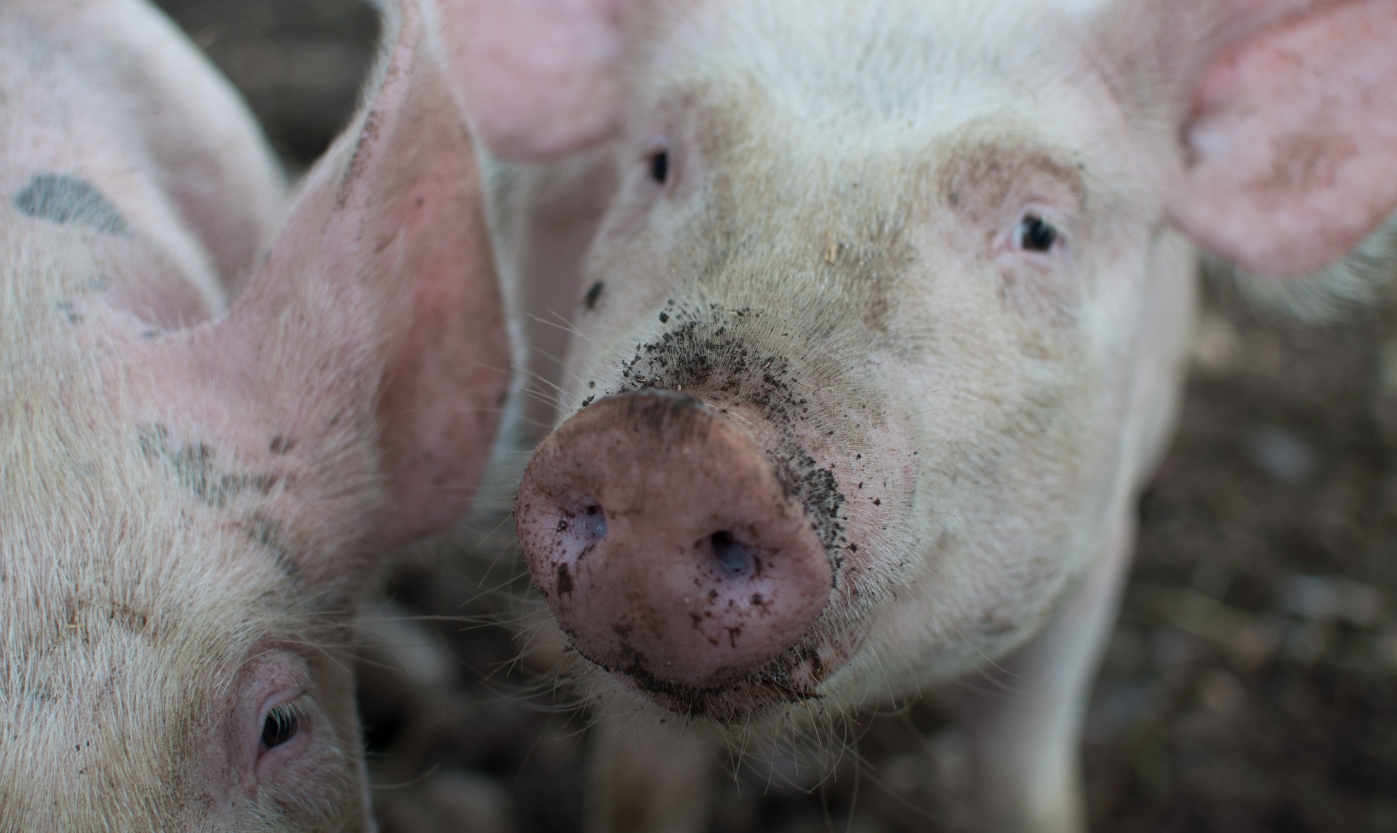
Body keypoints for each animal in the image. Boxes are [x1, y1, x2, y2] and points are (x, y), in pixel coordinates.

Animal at [430, 0, 1397, 827]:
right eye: (658, 163)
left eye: (1038, 230)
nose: (671, 443)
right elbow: (642, 785)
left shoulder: (1097, 543)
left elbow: (1022, 775)